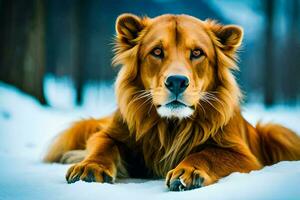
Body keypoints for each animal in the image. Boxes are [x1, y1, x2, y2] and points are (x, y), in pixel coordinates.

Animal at [44, 13, 300, 191]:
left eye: (197, 53)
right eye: (157, 52)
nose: (177, 81)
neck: (171, 125)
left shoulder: (244, 155)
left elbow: (208, 154)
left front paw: (189, 171)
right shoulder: (109, 134)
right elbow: (102, 145)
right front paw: (90, 167)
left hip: (277, 131)